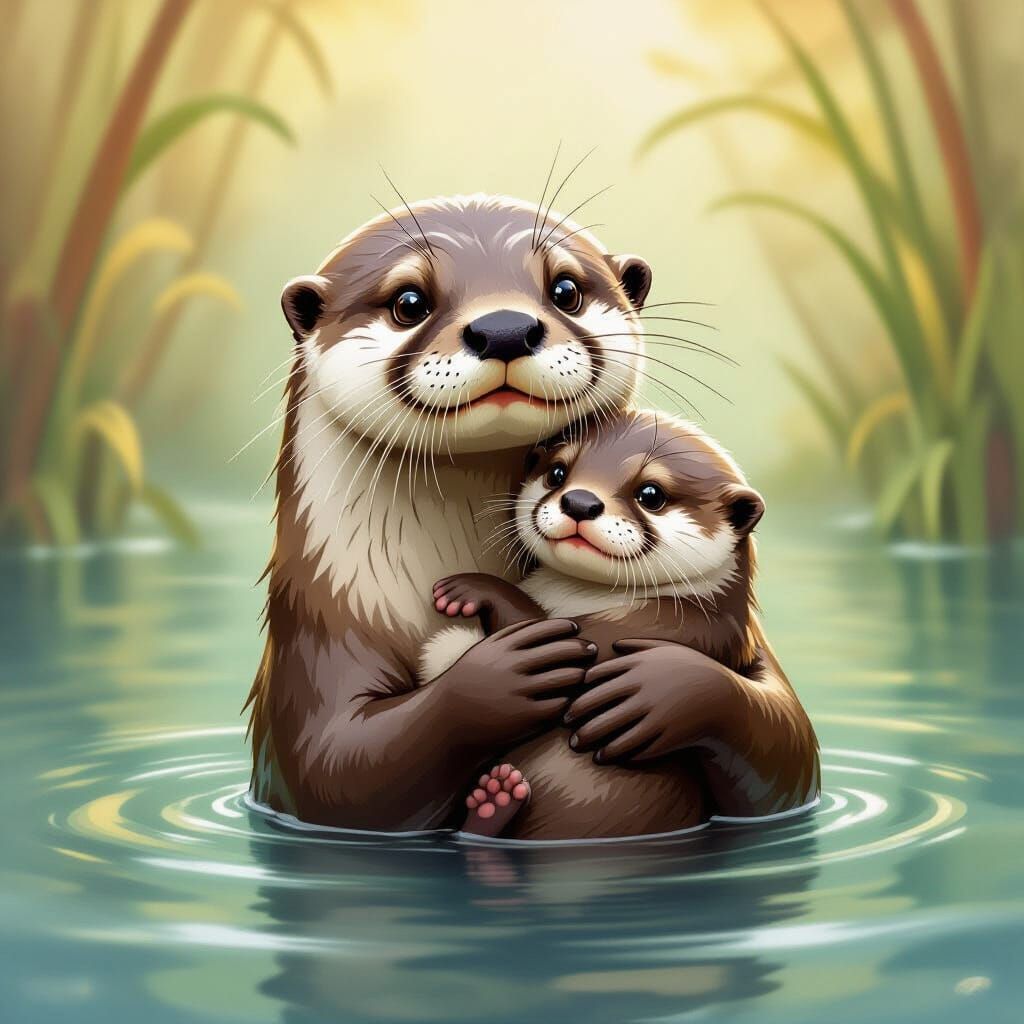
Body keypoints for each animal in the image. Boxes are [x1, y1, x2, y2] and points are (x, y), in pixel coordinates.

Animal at [246, 193, 818, 833]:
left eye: (565, 289)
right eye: (409, 302)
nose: (505, 329)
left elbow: (785, 746)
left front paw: (664, 684)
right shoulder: (315, 649)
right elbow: (343, 769)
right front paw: (494, 676)